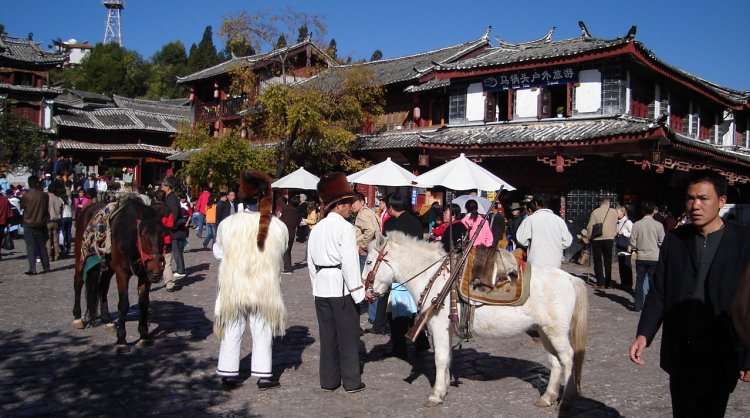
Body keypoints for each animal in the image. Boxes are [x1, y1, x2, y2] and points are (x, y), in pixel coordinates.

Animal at [72, 195, 166, 350]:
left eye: (164, 233)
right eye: (142, 234)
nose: (157, 271)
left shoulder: (144, 275)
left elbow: (143, 302)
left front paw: (144, 335)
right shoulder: (122, 273)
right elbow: (123, 304)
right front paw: (121, 340)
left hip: (108, 267)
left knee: (102, 287)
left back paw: (107, 320)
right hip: (81, 258)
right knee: (78, 283)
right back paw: (77, 317)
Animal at [368, 232, 592, 408]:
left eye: (369, 262)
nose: (367, 293)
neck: (436, 279)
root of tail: (569, 278)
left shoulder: (438, 327)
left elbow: (440, 359)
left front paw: (436, 395)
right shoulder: (448, 329)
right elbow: (447, 358)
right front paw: (444, 387)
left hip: (556, 332)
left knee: (568, 358)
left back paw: (566, 399)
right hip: (545, 331)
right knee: (555, 361)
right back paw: (547, 397)